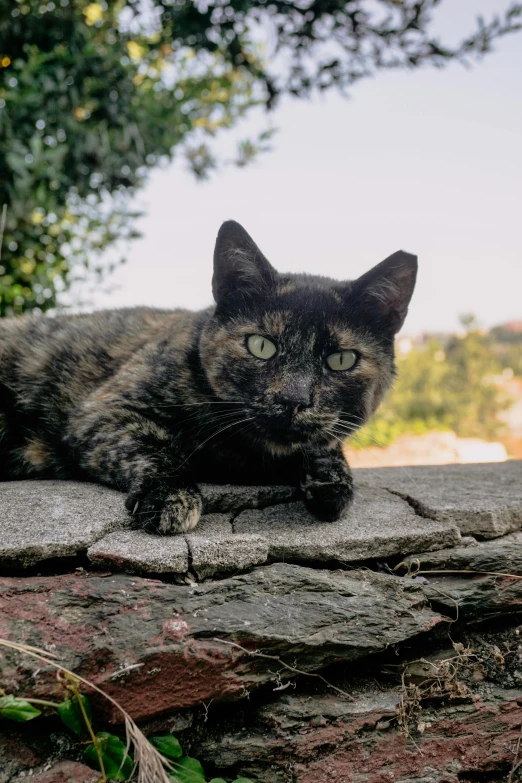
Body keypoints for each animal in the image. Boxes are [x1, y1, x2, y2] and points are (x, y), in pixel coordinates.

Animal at [0, 224, 414, 536]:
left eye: (340, 360)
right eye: (261, 345)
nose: (292, 399)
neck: (246, 458)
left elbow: (330, 455)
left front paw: (330, 479)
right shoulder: (103, 411)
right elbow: (156, 446)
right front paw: (171, 496)